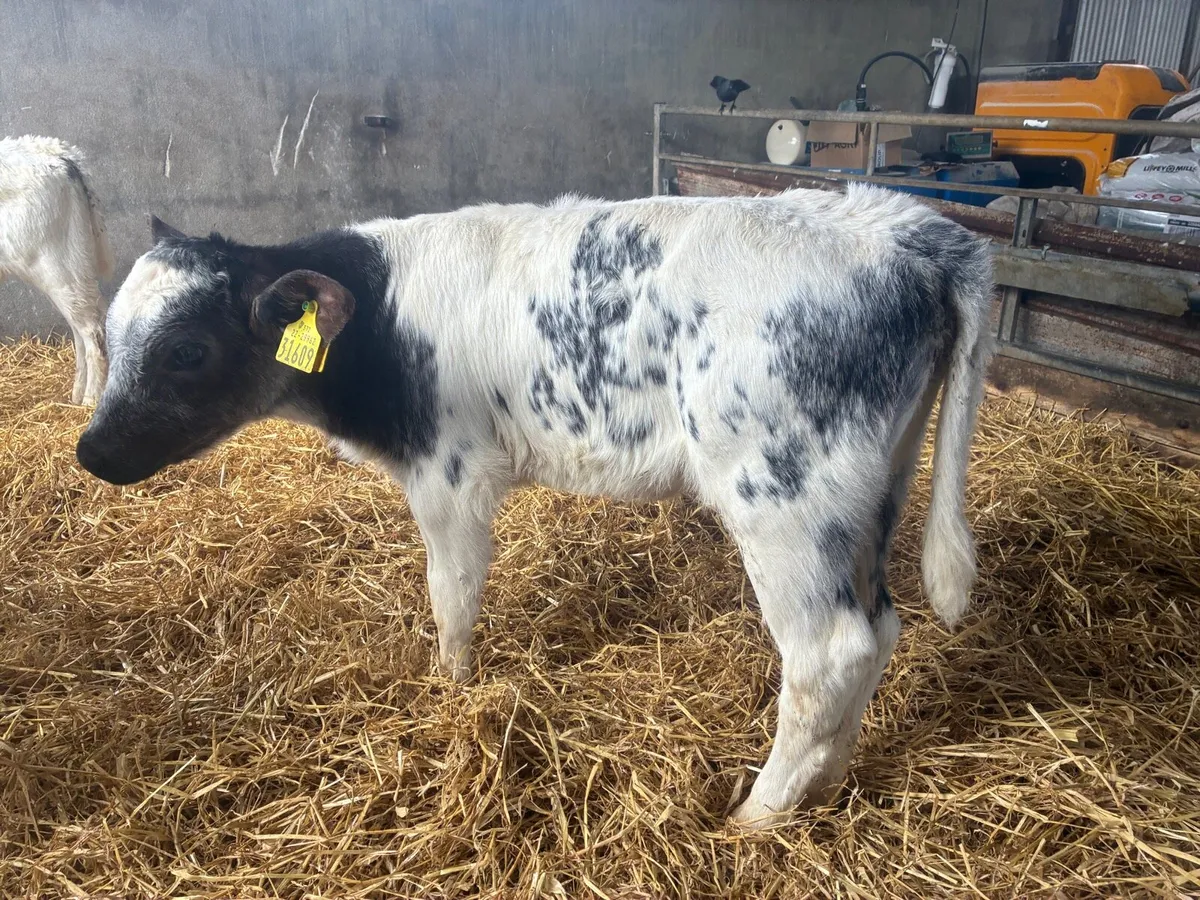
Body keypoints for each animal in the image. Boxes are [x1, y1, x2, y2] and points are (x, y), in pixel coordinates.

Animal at [1, 135, 115, 405]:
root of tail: (61, 156)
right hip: (71, 269)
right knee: (82, 327)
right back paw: (77, 396)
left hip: (56, 265)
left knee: (92, 330)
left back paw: (89, 400)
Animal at [74, 185, 994, 826]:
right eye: (115, 335)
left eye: (187, 350)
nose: (92, 451)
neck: (379, 321)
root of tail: (897, 225)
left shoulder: (449, 472)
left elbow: (452, 595)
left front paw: (452, 687)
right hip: (873, 490)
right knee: (879, 633)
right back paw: (824, 784)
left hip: (783, 495)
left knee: (829, 652)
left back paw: (758, 813)